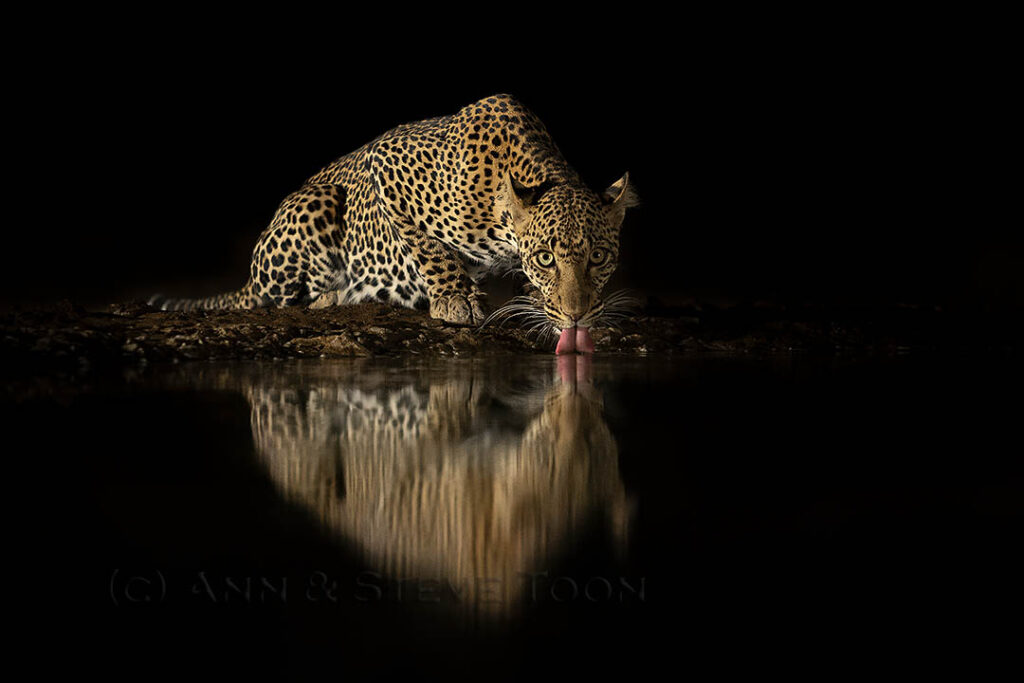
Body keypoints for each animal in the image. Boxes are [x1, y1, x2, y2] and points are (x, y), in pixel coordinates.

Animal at [149, 94, 639, 346]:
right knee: (279, 299)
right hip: (318, 200)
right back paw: (333, 297)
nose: (577, 316)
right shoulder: (386, 165)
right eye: (545, 258)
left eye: (598, 257)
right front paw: (456, 299)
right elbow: (431, 250)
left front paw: (539, 302)